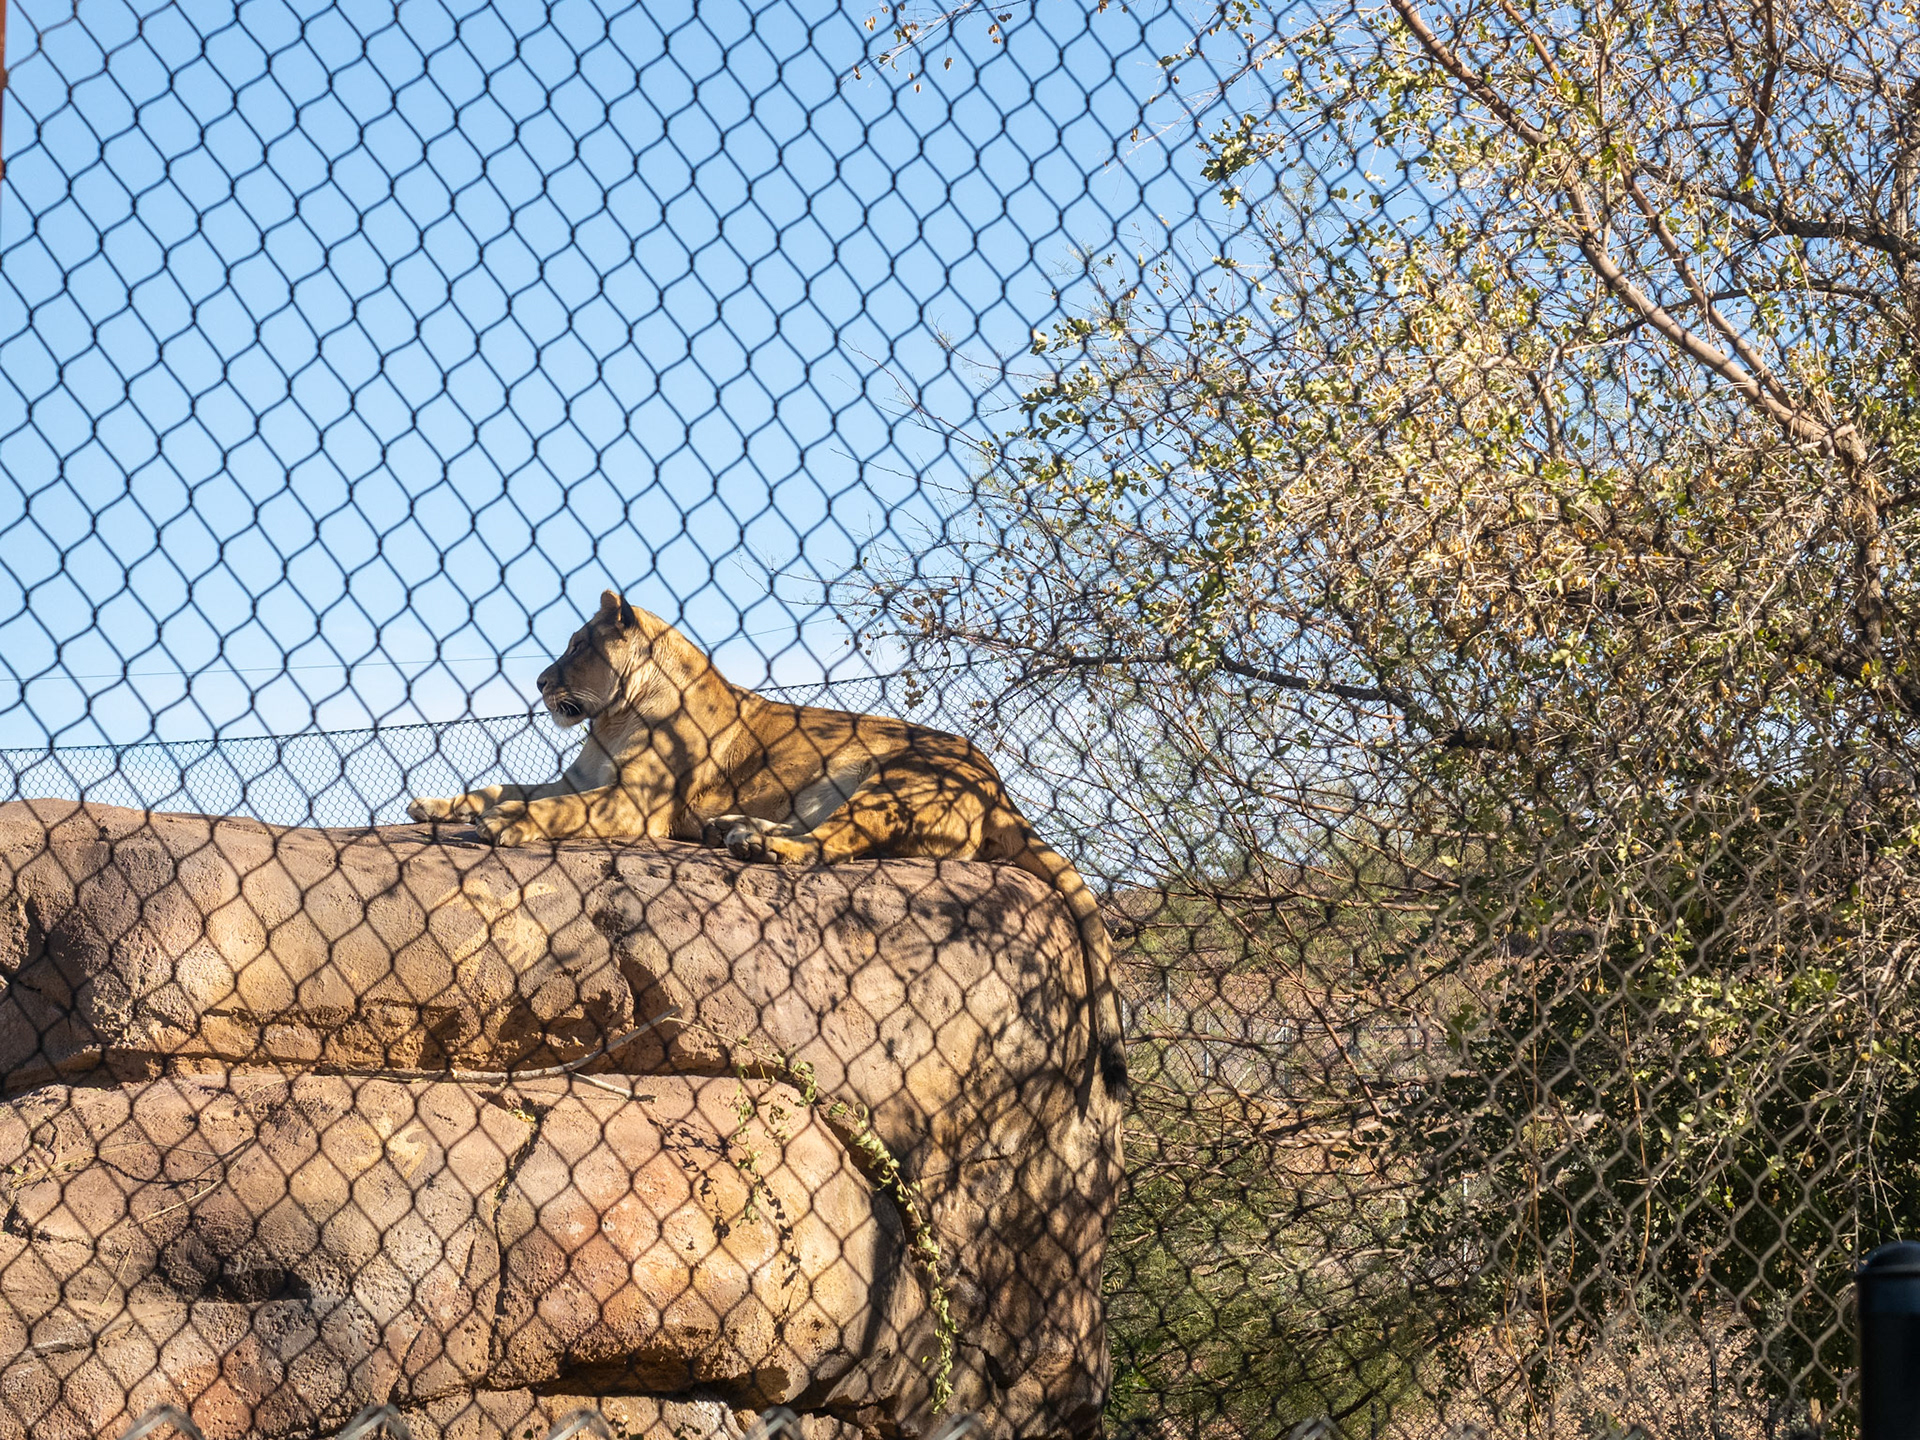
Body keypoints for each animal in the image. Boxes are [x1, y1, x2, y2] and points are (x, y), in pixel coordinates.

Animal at [408, 590, 1128, 1098]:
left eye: (579, 645)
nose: (539, 684)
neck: (613, 717)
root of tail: (1000, 787)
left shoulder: (631, 802)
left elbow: (550, 809)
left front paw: (506, 825)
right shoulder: (579, 777)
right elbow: (499, 785)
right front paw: (436, 806)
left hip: (891, 777)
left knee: (831, 847)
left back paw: (755, 844)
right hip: (826, 789)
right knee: (819, 833)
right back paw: (734, 828)